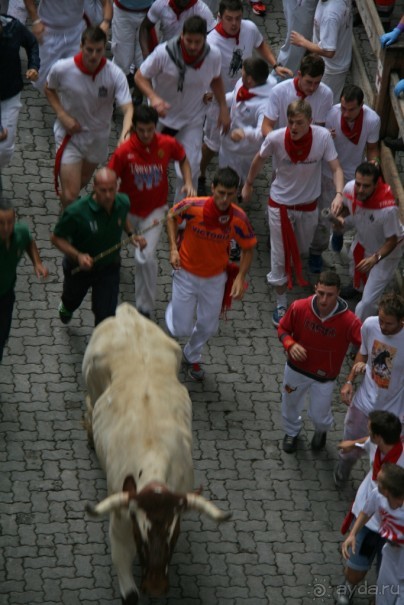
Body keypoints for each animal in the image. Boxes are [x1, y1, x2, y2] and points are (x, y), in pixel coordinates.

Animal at [82, 304, 230, 600]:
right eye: (142, 534)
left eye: (173, 534)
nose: (156, 586)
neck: (152, 456)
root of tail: (127, 313)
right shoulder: (120, 523)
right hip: (91, 383)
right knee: (90, 404)